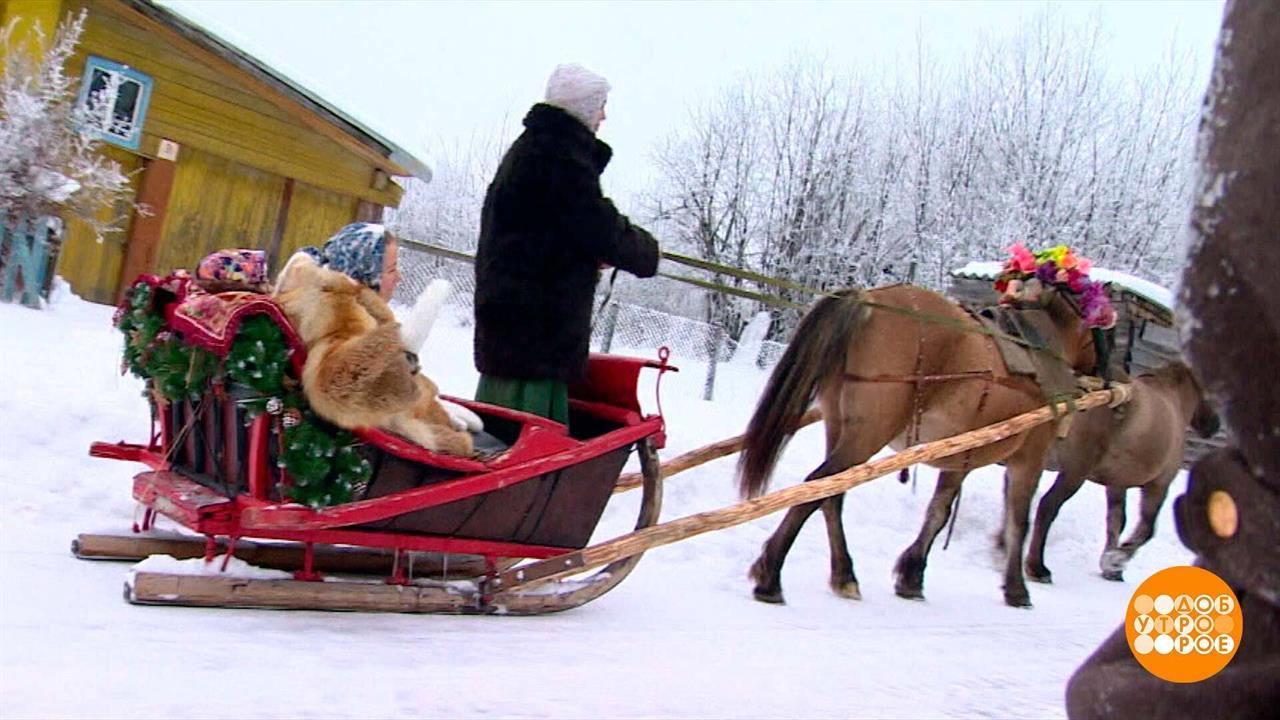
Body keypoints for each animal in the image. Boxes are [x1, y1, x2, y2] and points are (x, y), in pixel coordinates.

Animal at [742, 281, 1100, 604]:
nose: (1099, 375)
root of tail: (867, 300)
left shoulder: (961, 458)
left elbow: (938, 513)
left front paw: (912, 575)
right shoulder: (1030, 458)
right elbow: (1018, 522)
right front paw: (1017, 589)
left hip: (839, 425)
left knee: (830, 494)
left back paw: (843, 576)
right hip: (869, 433)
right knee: (816, 487)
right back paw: (771, 576)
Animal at [1018, 358, 1218, 584]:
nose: (1214, 425)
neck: (1175, 398)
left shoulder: (1117, 484)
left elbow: (1116, 521)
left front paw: (1110, 567)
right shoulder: (1159, 485)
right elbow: (1147, 529)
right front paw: (1116, 560)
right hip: (1074, 473)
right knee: (1047, 506)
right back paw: (1037, 568)